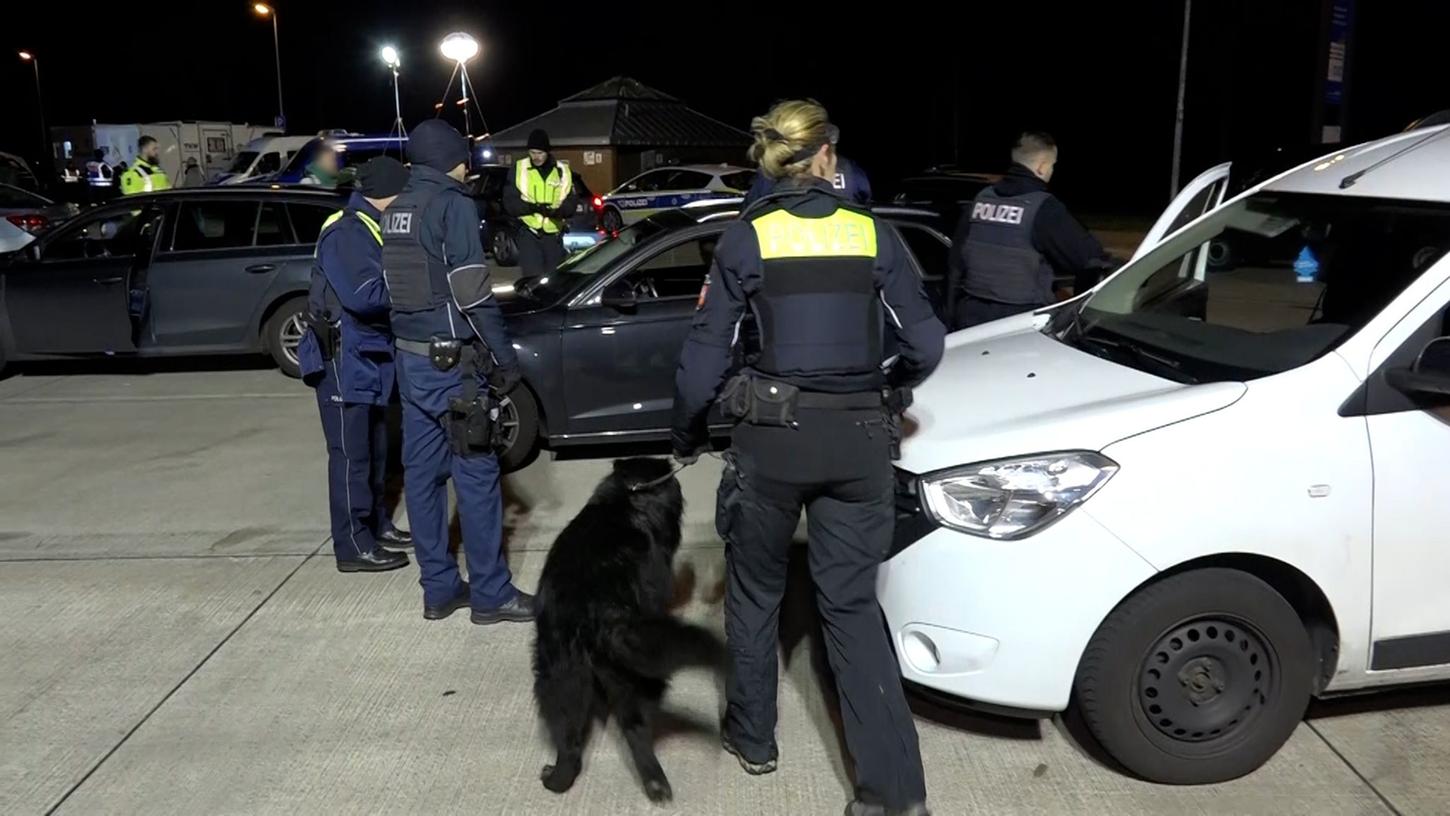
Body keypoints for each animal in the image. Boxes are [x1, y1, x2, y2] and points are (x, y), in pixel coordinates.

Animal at [530, 460, 722, 805]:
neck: (626, 501)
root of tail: (596, 613)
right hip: (627, 679)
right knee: (635, 731)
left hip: (563, 678)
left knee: (574, 744)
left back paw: (559, 777)